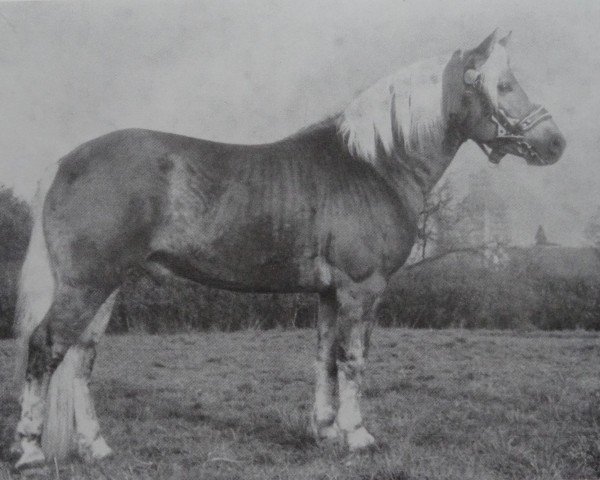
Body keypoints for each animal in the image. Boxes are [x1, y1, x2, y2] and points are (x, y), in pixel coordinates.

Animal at [9, 30, 564, 468]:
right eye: (504, 85)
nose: (556, 143)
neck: (375, 165)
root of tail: (65, 162)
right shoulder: (362, 288)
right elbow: (353, 358)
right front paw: (358, 436)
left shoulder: (328, 293)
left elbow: (323, 357)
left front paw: (324, 432)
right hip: (87, 284)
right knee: (46, 346)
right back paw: (30, 450)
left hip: (106, 285)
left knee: (82, 355)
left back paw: (96, 447)